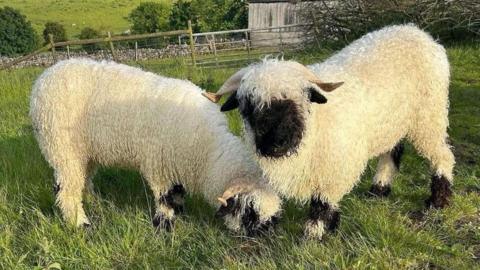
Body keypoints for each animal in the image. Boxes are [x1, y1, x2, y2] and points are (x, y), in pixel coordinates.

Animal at [30, 59, 282, 236]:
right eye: (250, 213)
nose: (269, 236)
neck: (206, 151)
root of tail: (42, 79)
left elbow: (177, 194)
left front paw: (180, 213)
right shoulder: (160, 166)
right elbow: (165, 198)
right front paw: (164, 225)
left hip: (86, 152)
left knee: (84, 179)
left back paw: (95, 202)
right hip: (62, 149)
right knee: (66, 190)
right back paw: (80, 224)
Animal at [203, 24, 458, 240]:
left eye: (297, 103)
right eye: (247, 107)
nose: (275, 145)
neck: (315, 126)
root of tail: (418, 32)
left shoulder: (334, 168)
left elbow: (322, 202)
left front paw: (314, 234)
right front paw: (331, 226)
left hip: (429, 118)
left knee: (443, 155)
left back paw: (438, 199)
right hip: (393, 124)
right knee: (391, 153)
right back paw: (379, 189)